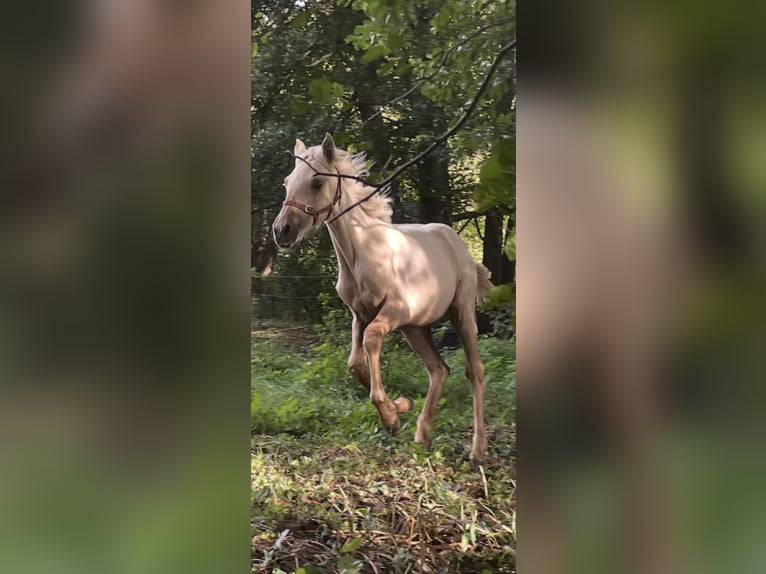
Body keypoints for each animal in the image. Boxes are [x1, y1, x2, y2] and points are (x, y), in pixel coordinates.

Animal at [272, 134, 494, 462]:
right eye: (287, 182)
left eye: (316, 182)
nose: (281, 231)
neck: (361, 253)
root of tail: (457, 244)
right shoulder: (359, 315)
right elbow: (354, 363)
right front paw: (400, 408)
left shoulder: (394, 312)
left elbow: (372, 341)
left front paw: (390, 416)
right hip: (416, 328)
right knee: (439, 369)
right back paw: (422, 435)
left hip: (460, 312)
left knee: (475, 372)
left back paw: (477, 450)